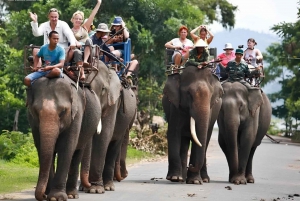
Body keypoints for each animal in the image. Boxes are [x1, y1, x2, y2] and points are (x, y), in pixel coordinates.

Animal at [78, 60, 137, 193]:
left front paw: (95, 189)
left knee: (114, 144)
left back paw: (109, 186)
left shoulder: (113, 103)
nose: (124, 175)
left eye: (103, 89)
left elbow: (104, 134)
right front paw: (86, 188)